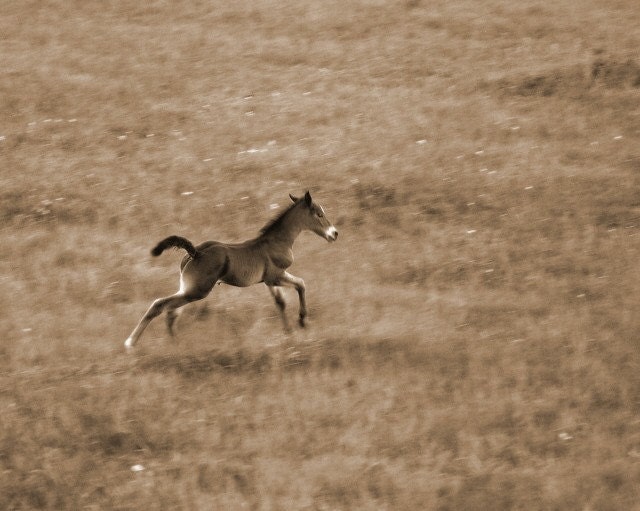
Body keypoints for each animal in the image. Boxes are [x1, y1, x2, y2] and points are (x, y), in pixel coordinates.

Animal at [124, 191, 338, 349]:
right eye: (319, 214)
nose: (334, 233)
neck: (277, 241)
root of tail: (195, 252)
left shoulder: (269, 281)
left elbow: (280, 302)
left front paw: (289, 332)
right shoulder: (276, 276)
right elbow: (301, 284)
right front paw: (302, 321)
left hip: (187, 289)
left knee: (171, 311)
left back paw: (175, 343)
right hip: (197, 290)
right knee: (160, 305)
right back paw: (131, 343)